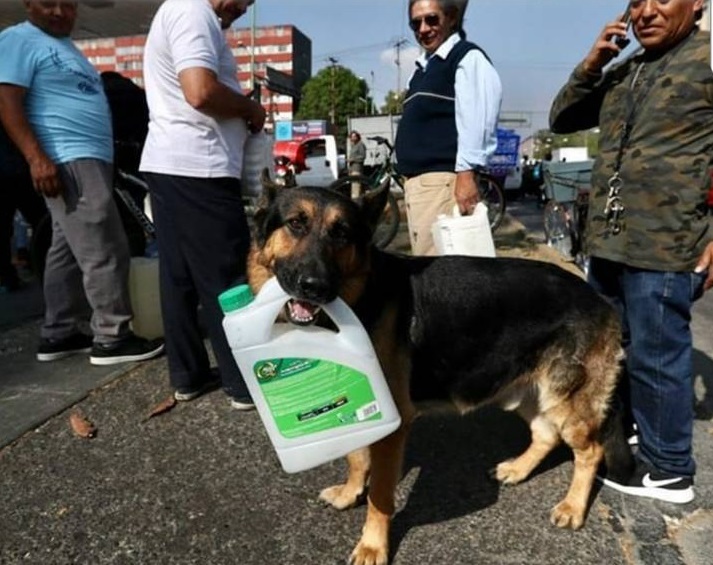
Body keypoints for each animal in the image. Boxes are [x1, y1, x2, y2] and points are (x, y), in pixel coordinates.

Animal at [248, 180, 632, 564]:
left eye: (341, 233)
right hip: (526, 391)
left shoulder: (392, 425)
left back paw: (572, 507)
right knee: (545, 434)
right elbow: (356, 457)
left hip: (566, 400)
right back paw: (517, 469)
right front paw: (350, 492)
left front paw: (373, 544)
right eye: (295, 224)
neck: (363, 293)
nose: (314, 285)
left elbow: (380, 495)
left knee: (591, 451)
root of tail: (600, 299)